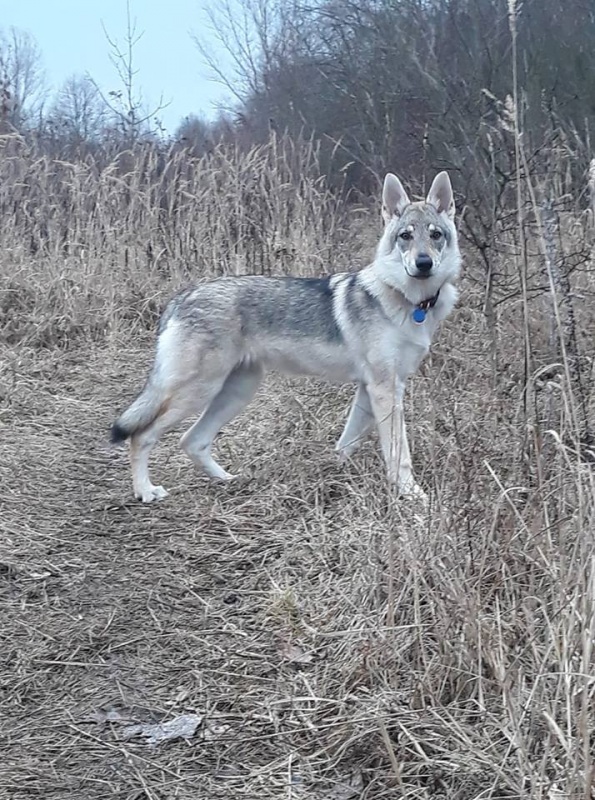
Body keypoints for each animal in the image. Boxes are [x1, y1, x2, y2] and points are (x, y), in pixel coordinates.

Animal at [112, 172, 464, 504]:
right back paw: (145, 491)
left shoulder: (371, 389)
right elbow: (399, 453)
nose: (423, 263)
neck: (409, 302)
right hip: (198, 391)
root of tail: (183, 295)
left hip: (236, 392)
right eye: (406, 236)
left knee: (192, 441)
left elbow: (346, 443)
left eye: (435, 235)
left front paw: (335, 474)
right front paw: (412, 494)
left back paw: (229, 480)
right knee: (140, 436)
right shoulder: (384, 389)